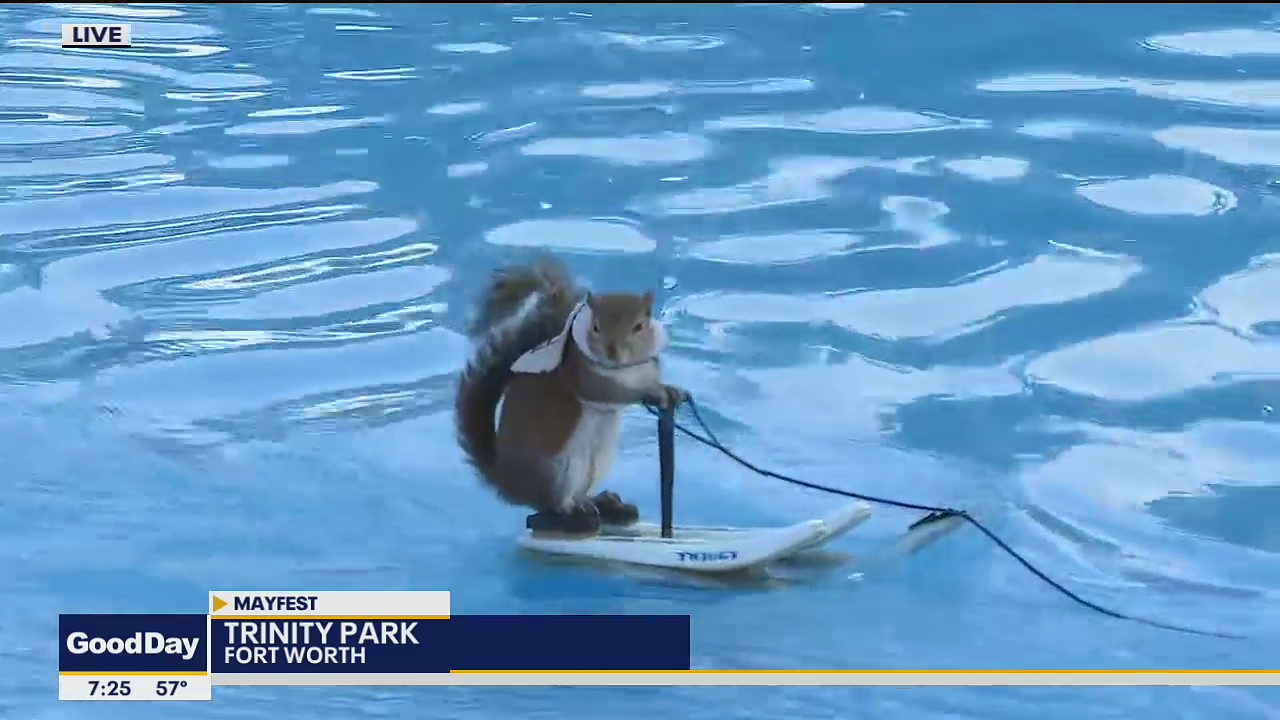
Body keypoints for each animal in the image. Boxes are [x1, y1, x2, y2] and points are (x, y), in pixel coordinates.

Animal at [454, 258, 687, 537]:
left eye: (639, 326)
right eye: (596, 327)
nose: (612, 352)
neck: (625, 369)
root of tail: (506, 482)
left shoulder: (648, 369)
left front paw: (670, 390)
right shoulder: (584, 377)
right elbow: (610, 392)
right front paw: (649, 393)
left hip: (594, 464)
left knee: (578, 495)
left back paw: (605, 503)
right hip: (559, 470)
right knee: (550, 505)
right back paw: (574, 513)